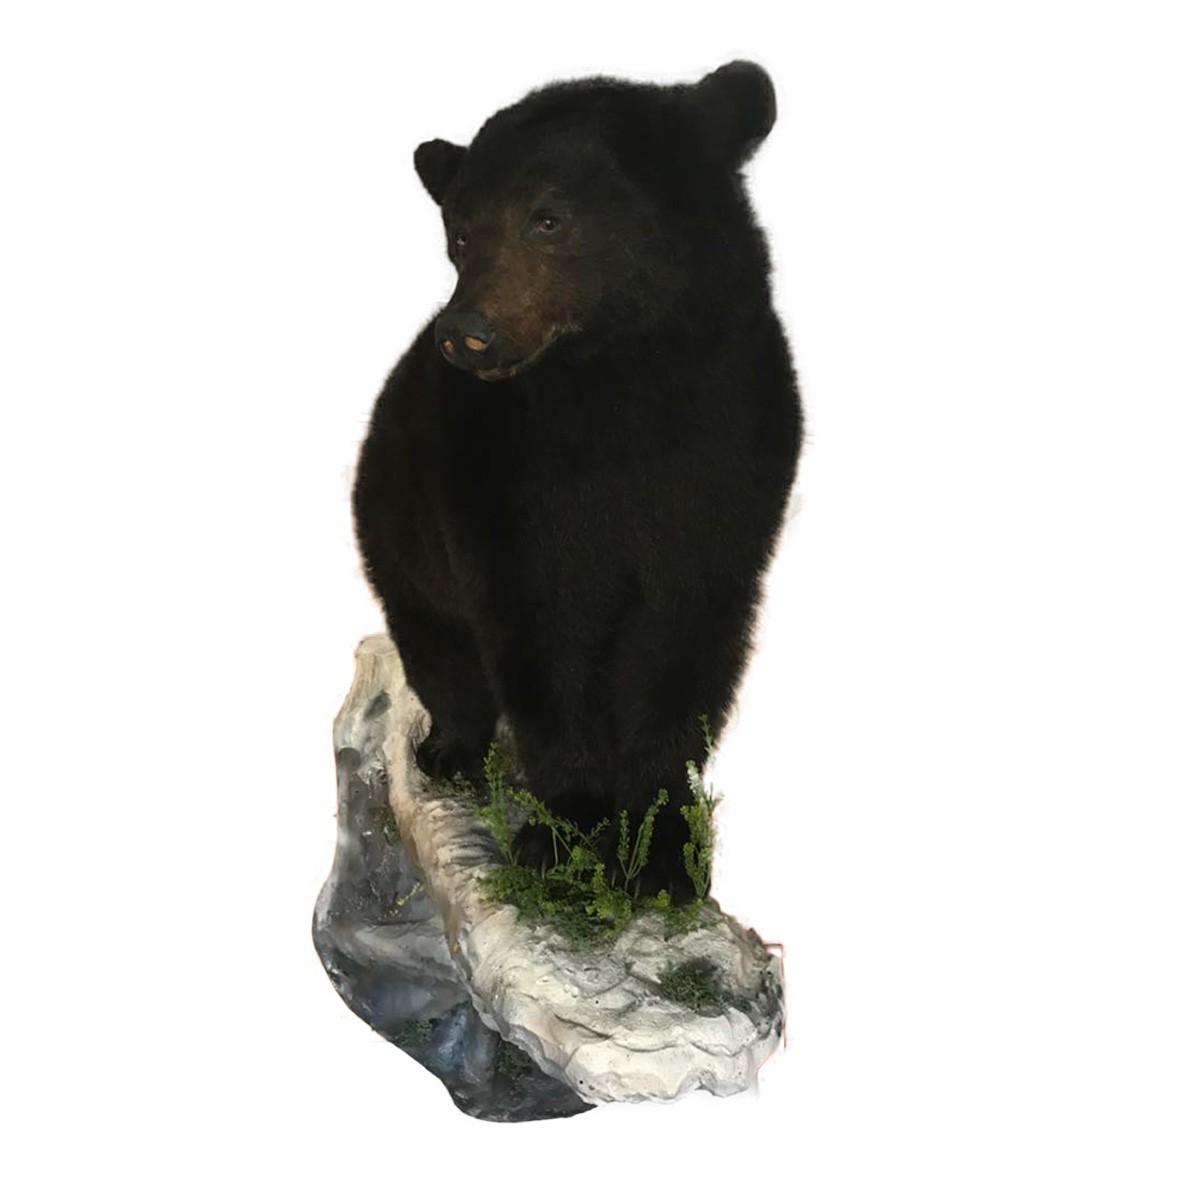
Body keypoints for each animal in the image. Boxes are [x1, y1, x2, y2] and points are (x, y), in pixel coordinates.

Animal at [352, 61, 803, 904]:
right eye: (460, 232)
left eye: (548, 218)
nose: (466, 335)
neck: (619, 387)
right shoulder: (505, 482)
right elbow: (540, 636)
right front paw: (563, 832)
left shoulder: (732, 463)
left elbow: (686, 641)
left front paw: (662, 849)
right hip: (398, 518)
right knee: (437, 639)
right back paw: (450, 748)